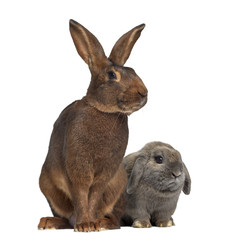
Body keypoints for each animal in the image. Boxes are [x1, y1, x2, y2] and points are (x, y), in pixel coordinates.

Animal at [37, 20, 147, 232]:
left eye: (133, 71)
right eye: (112, 75)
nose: (143, 93)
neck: (103, 111)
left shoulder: (106, 172)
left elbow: (94, 194)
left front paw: (91, 224)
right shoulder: (77, 167)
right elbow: (81, 193)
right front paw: (84, 225)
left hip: (119, 186)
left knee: (116, 219)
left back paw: (103, 222)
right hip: (48, 186)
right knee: (65, 216)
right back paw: (49, 222)